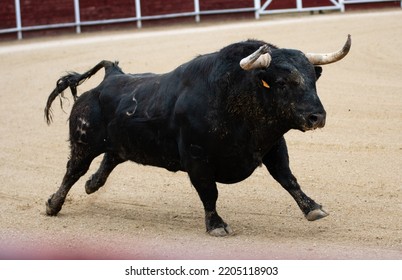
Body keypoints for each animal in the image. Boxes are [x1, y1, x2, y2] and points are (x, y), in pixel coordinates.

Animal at [44, 36, 352, 235]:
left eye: (312, 80)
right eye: (282, 82)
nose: (317, 117)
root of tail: (110, 77)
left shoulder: (274, 146)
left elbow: (288, 179)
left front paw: (313, 208)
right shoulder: (196, 159)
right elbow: (209, 192)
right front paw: (216, 226)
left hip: (121, 142)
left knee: (110, 158)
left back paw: (91, 185)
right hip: (83, 142)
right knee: (73, 171)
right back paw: (53, 204)